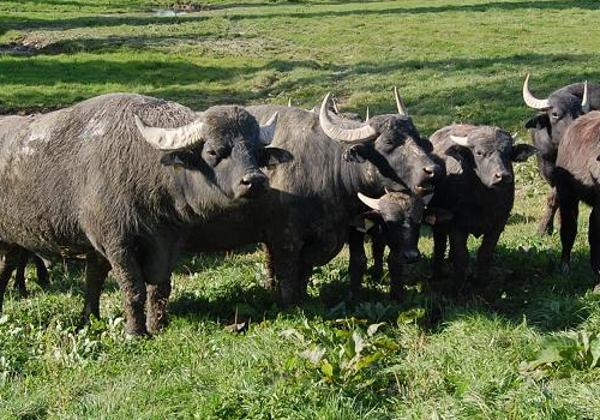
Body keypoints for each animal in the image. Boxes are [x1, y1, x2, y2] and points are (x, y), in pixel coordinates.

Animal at [0, 93, 284, 336]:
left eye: (256, 151)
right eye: (213, 151)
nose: (255, 180)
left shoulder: (166, 242)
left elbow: (156, 287)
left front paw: (155, 326)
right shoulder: (117, 244)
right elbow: (133, 288)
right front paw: (135, 332)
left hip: (12, 241)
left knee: (9, 265)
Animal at [426, 123, 536, 290]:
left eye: (508, 153)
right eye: (479, 152)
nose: (503, 176)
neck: (483, 200)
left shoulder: (498, 224)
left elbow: (485, 253)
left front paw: (481, 283)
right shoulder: (456, 226)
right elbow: (462, 256)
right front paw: (457, 287)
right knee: (440, 245)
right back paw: (436, 274)